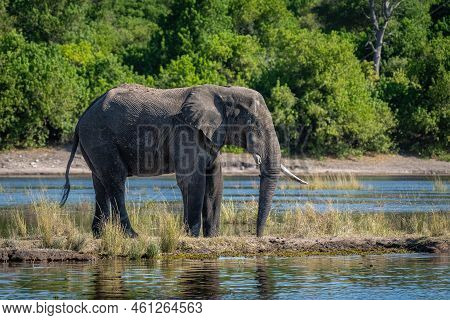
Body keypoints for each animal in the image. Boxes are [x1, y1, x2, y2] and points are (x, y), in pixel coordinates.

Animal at [59, 83, 308, 238]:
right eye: (253, 125)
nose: (258, 236)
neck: (224, 92)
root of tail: (81, 118)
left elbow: (215, 181)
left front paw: (212, 237)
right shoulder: (186, 131)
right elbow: (192, 181)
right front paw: (192, 235)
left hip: (94, 143)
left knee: (100, 183)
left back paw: (100, 234)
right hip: (101, 138)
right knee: (116, 182)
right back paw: (131, 235)